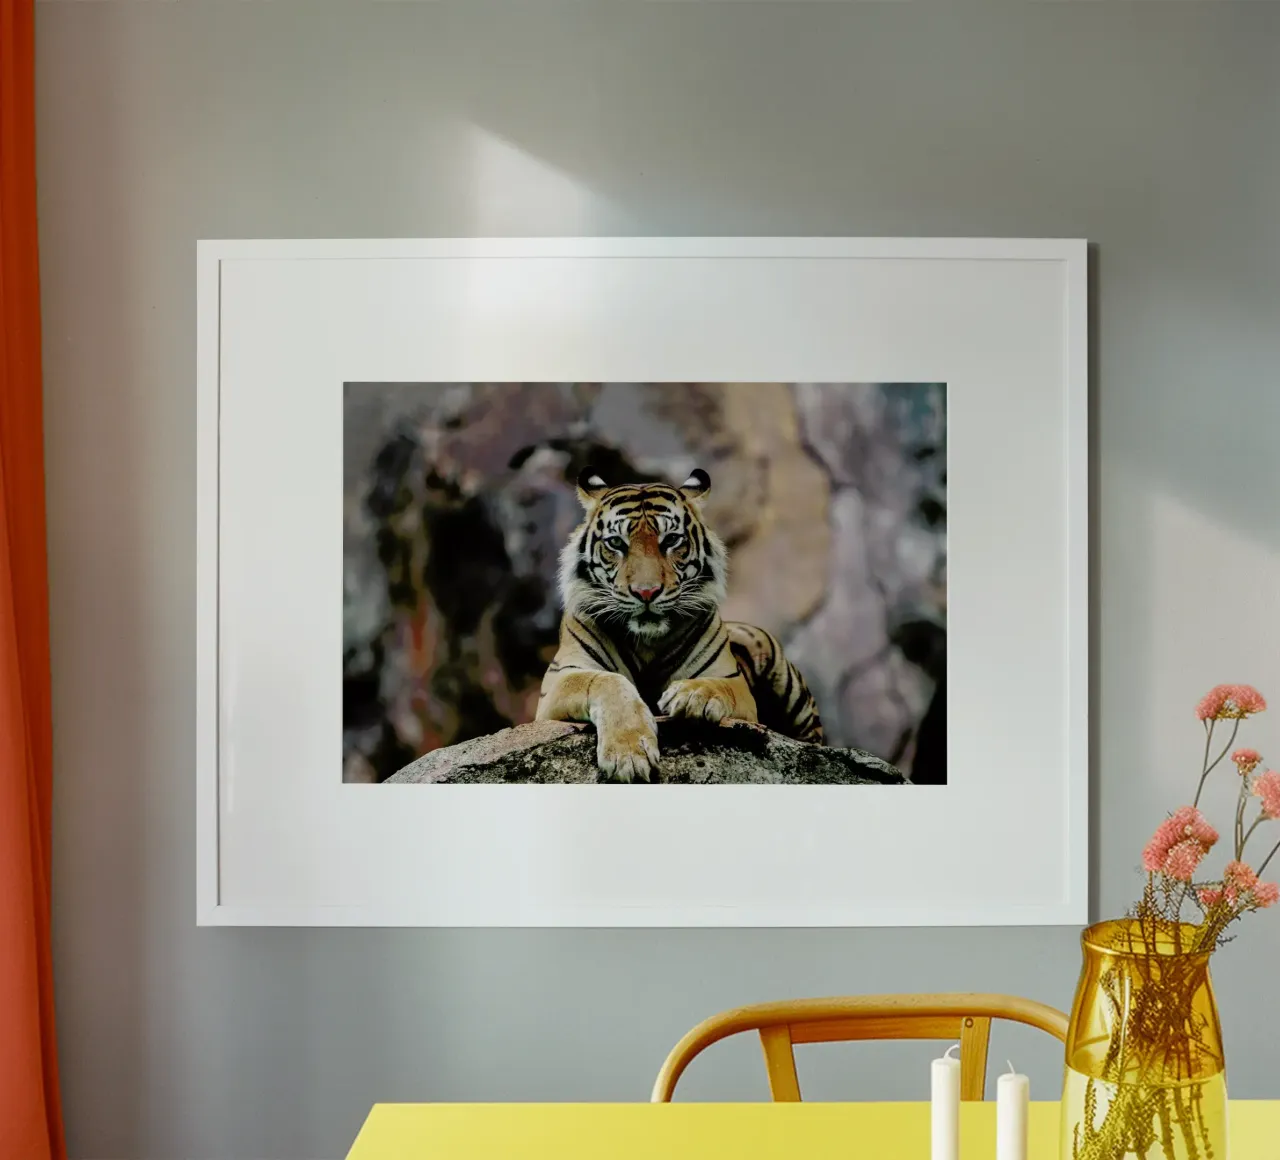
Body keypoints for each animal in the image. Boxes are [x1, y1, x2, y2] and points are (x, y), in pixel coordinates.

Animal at [535, 466, 824, 782]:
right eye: (616, 543)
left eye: (671, 540)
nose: (646, 592)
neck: (647, 641)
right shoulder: (560, 680)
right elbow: (606, 681)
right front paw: (628, 754)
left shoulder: (733, 682)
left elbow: (717, 686)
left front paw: (692, 695)